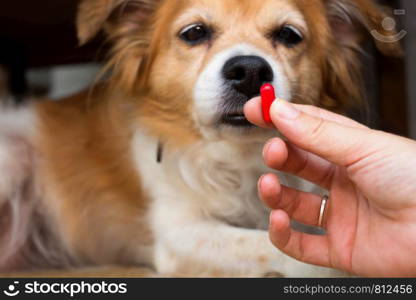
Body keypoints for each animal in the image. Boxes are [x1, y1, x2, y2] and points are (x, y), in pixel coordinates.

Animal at [0, 0, 400, 276]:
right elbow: (274, 247)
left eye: (289, 35)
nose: (249, 70)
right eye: (194, 33)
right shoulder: (179, 233)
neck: (239, 156)